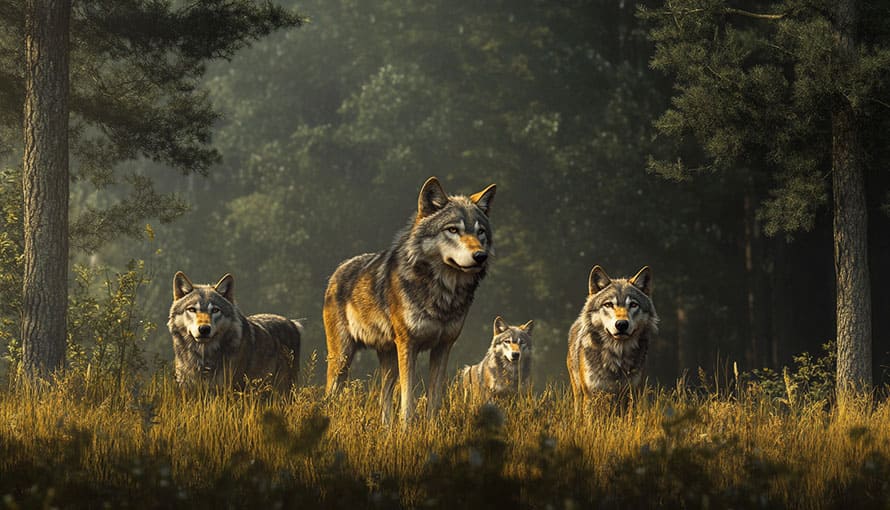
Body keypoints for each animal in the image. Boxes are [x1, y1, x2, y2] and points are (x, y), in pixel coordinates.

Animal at [323, 176, 496, 425]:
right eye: (453, 230)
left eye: (480, 232)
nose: (480, 256)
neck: (442, 293)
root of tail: (340, 268)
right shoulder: (408, 345)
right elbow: (408, 400)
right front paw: (407, 428)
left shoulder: (444, 346)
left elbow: (434, 398)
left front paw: (432, 428)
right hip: (342, 358)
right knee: (330, 395)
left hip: (387, 357)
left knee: (383, 398)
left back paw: (386, 428)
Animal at [566, 265, 658, 407]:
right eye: (608, 304)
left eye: (633, 305)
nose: (621, 324)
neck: (617, 357)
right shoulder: (591, 396)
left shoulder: (634, 394)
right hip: (579, 393)